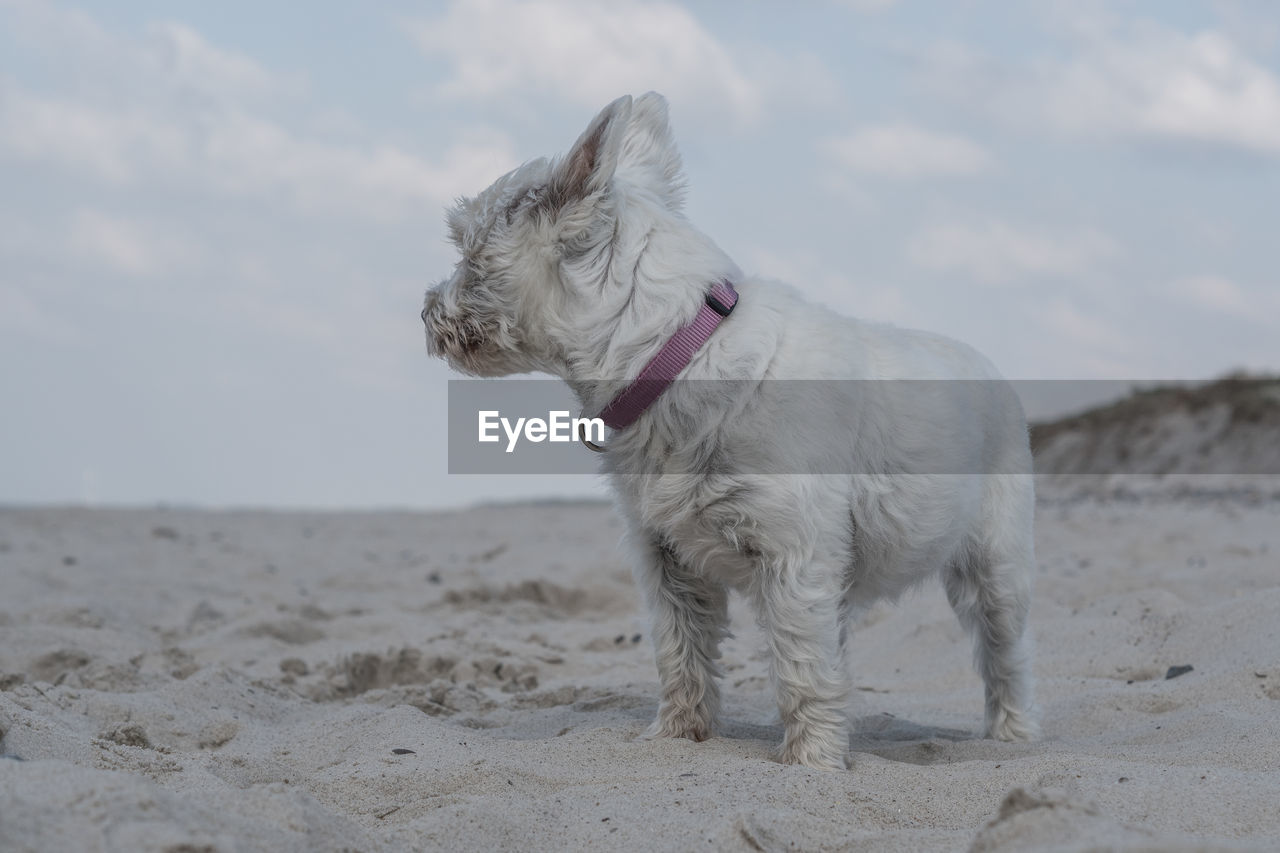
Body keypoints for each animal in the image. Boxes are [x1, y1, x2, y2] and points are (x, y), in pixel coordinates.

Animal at [422, 94, 1039, 768]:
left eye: (468, 250)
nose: (426, 309)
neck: (677, 355)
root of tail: (989, 367)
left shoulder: (796, 556)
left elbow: (800, 666)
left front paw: (812, 763)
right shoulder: (667, 559)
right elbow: (681, 656)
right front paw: (676, 737)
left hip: (995, 565)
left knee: (1003, 654)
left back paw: (1012, 735)